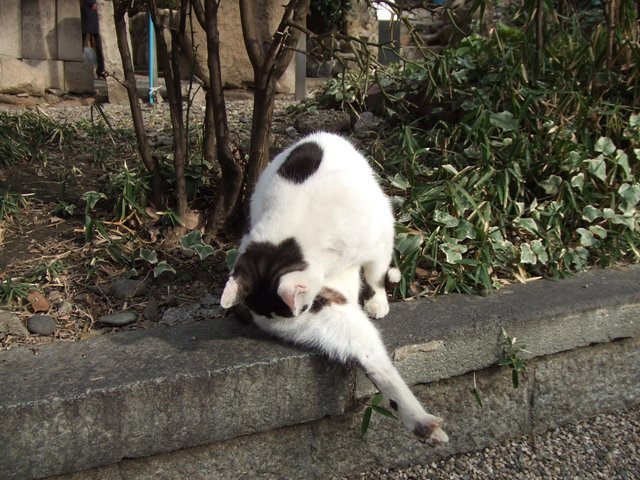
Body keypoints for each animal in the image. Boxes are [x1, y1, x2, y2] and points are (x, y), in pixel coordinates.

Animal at [218, 132, 448, 446]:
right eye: (298, 310)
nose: (292, 322)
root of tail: (321, 134)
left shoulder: (379, 236)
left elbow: (375, 275)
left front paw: (378, 301)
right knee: (371, 357)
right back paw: (424, 425)